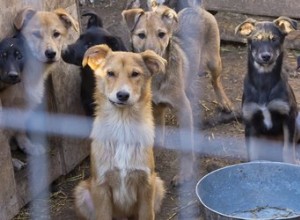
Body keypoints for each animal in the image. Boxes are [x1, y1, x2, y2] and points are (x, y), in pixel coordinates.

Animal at [0, 6, 78, 168]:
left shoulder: (23, 107)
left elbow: (20, 131)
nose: (51, 53)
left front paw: (28, 147)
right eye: (36, 34)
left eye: (56, 34)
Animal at [73, 43, 165, 219]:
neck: (123, 125)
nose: (122, 95)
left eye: (135, 74)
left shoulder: (147, 184)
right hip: (82, 193)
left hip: (158, 186)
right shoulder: (101, 186)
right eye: (110, 73)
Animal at [236, 15, 298, 163]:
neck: (264, 80)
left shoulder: (289, 117)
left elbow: (288, 150)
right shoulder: (250, 123)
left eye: (274, 39)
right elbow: (253, 155)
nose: (265, 56)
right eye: (256, 39)